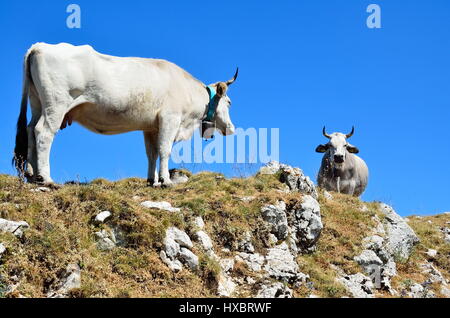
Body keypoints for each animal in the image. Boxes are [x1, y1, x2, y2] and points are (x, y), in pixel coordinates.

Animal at [13, 42, 239, 186]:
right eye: (229, 102)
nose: (232, 128)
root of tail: (40, 46)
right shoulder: (170, 119)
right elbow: (165, 150)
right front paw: (165, 180)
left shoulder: (151, 126)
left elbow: (151, 153)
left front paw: (152, 181)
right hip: (56, 104)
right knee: (44, 133)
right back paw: (46, 178)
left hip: (37, 102)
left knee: (31, 129)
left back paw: (32, 175)